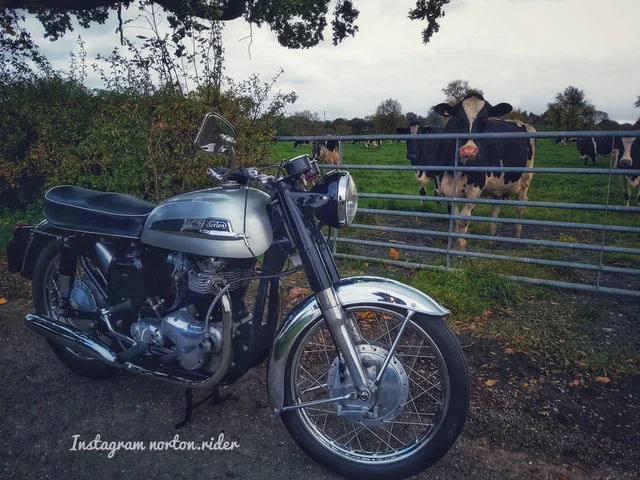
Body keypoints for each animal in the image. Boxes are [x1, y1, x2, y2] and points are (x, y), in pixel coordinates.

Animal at [428, 94, 536, 251]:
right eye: (458, 117)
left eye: (484, 118)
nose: (469, 151)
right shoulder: (443, 189)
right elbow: (454, 219)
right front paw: (453, 243)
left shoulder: (475, 189)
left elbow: (463, 219)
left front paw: (461, 243)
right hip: (500, 187)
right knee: (496, 208)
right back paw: (491, 239)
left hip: (525, 179)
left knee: (521, 205)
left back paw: (516, 236)